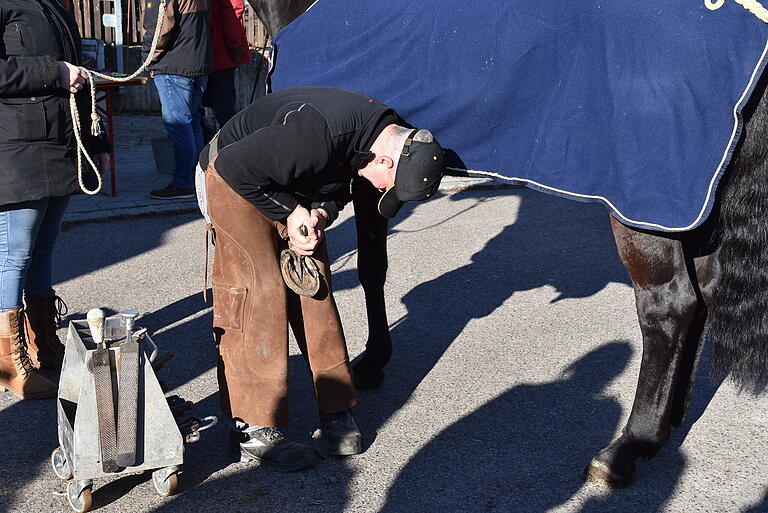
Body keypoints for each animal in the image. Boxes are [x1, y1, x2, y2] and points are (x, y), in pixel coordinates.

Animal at [243, 0, 768, 488]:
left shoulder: (367, 173)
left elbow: (372, 264)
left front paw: (371, 362)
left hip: (646, 207)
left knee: (670, 307)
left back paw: (626, 447)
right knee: (702, 298)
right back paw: (667, 425)